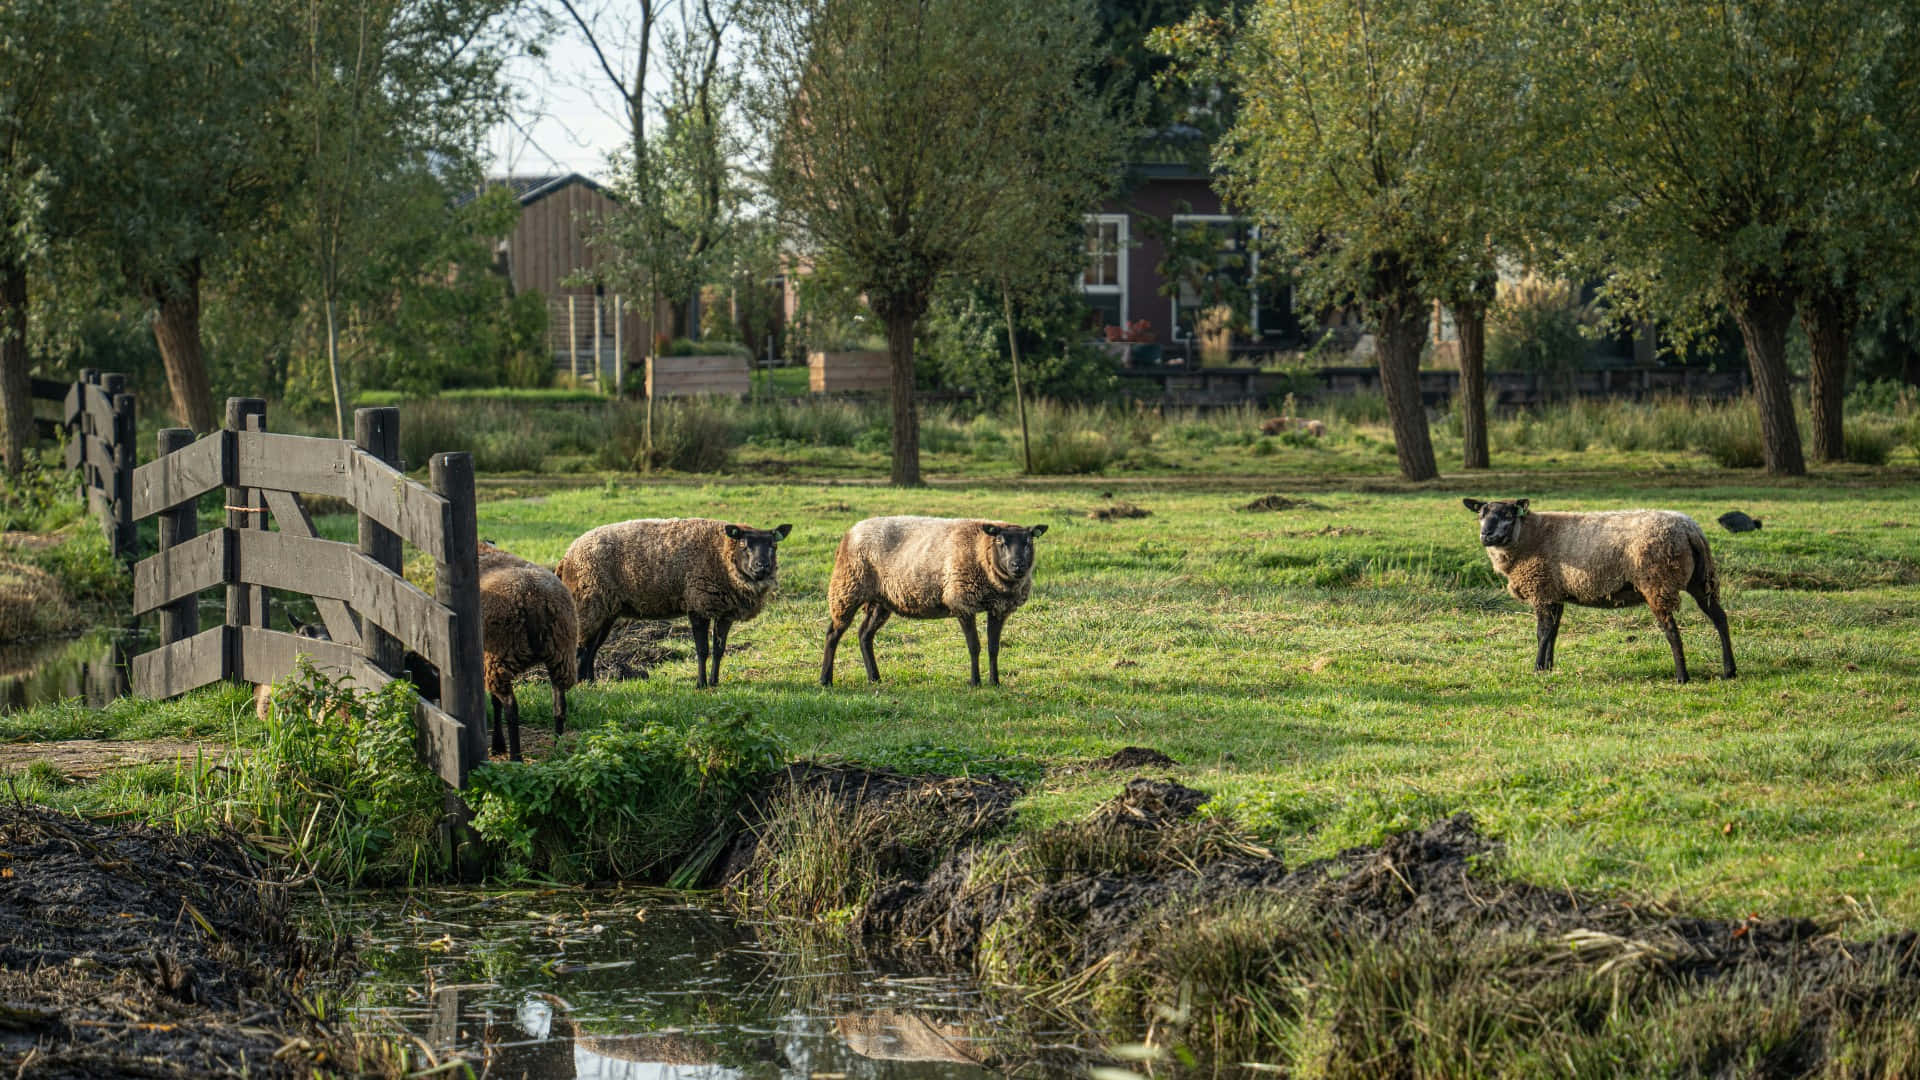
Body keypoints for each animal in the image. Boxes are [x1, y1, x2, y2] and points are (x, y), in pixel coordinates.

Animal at [477, 541, 579, 762]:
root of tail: (533, 597)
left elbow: (495, 703)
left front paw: (498, 746)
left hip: (499, 657)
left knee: (511, 708)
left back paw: (516, 757)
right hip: (562, 654)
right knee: (560, 706)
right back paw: (556, 750)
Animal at [558, 518, 792, 688]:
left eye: (773, 545)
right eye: (744, 544)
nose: (762, 566)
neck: (723, 556)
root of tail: (566, 557)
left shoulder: (724, 611)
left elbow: (719, 650)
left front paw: (715, 683)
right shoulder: (698, 604)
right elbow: (702, 650)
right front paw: (701, 684)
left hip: (606, 611)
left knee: (591, 648)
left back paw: (590, 682)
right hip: (588, 603)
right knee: (581, 648)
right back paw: (580, 685)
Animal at [821, 516, 1048, 687]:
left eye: (1029, 542)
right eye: (1000, 542)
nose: (1018, 565)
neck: (982, 554)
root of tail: (850, 532)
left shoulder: (999, 608)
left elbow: (993, 648)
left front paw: (995, 682)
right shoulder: (962, 602)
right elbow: (974, 646)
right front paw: (975, 682)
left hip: (881, 600)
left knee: (864, 635)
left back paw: (874, 678)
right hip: (847, 588)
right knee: (833, 633)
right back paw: (825, 680)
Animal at [1463, 498, 1734, 683]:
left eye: (1508, 515)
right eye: (1481, 514)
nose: (1486, 535)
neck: (1528, 536)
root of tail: (1690, 529)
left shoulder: (1542, 590)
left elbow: (1542, 633)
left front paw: (1538, 668)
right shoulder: (1555, 592)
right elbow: (1553, 633)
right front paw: (1549, 667)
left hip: (1657, 582)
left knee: (1671, 630)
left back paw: (1682, 676)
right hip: (1701, 580)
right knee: (1720, 618)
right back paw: (1729, 670)